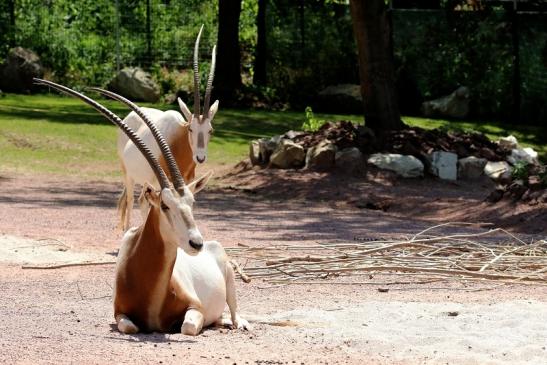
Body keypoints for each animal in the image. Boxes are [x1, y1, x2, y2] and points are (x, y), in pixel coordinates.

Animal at [36, 77, 253, 336]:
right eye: (165, 206)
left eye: (192, 203)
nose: (196, 243)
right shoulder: (119, 313)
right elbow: (130, 327)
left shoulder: (195, 307)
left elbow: (187, 327)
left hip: (229, 277)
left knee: (233, 310)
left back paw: (239, 323)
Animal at [114, 24, 219, 230]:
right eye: (191, 129)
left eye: (210, 130)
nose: (200, 157)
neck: (177, 142)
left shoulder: (186, 184)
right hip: (128, 174)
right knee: (132, 200)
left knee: (141, 200)